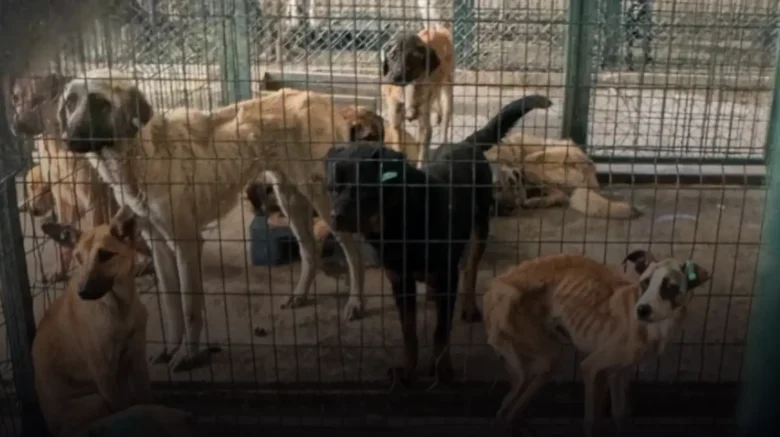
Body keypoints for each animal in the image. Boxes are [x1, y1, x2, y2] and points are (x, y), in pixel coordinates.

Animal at [32, 205, 151, 436]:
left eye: (105, 255)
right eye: (78, 257)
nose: (83, 292)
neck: (119, 308)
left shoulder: (137, 357)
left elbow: (145, 398)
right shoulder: (103, 373)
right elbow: (120, 407)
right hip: (95, 401)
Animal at [322, 93, 556, 384]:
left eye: (363, 190)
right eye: (332, 188)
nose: (335, 217)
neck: (401, 221)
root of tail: (465, 142)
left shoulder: (445, 274)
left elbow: (441, 331)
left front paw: (442, 368)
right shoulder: (400, 282)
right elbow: (409, 331)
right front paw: (407, 367)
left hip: (480, 226)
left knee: (470, 268)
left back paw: (467, 305)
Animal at [380, 24, 454, 167]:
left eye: (414, 57)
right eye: (392, 56)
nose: (396, 77)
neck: (408, 90)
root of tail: (438, 29)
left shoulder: (425, 127)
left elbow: (422, 153)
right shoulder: (395, 122)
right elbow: (399, 145)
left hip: (447, 91)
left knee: (445, 125)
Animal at [488, 250, 712, 434]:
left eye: (670, 287)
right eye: (645, 283)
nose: (641, 310)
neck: (654, 328)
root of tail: (499, 281)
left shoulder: (617, 371)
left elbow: (619, 413)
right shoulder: (591, 367)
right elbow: (591, 419)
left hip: (545, 363)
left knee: (514, 399)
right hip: (540, 357)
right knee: (511, 396)